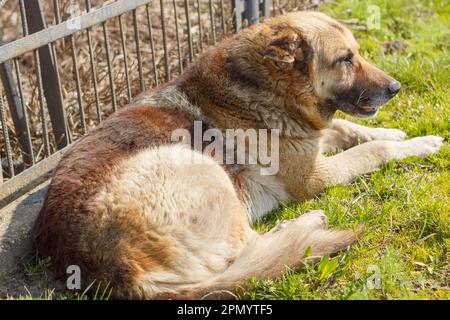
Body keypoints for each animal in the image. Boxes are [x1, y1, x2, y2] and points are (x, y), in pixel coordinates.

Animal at [32, 10, 442, 300]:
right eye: (344, 59)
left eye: (356, 52)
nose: (396, 88)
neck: (272, 88)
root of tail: (120, 273)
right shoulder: (314, 177)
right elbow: (372, 150)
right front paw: (416, 144)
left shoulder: (313, 141)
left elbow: (352, 130)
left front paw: (399, 132)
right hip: (201, 167)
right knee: (253, 249)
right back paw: (307, 224)